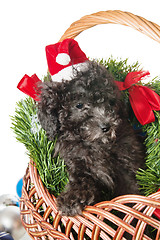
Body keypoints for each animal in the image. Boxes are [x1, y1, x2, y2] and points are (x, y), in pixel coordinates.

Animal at [37, 61, 145, 217]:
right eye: (79, 105)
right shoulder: (77, 162)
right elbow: (82, 180)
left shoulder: (127, 163)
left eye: (109, 102)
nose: (107, 126)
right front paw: (72, 200)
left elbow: (130, 191)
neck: (96, 144)